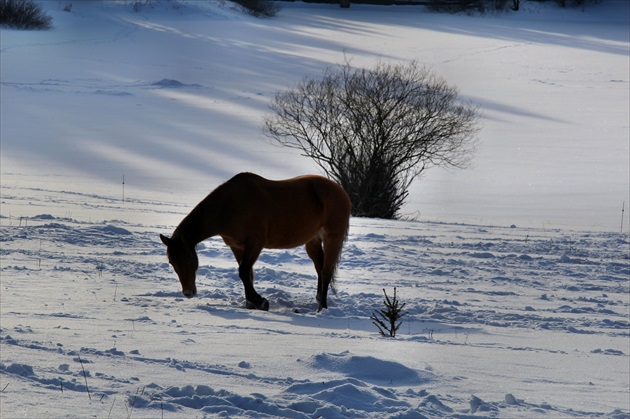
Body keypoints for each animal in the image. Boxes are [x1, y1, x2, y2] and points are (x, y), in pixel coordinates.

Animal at [160, 172, 354, 314]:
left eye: (189, 260)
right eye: (172, 262)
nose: (188, 293)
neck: (229, 206)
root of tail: (341, 192)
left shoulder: (255, 243)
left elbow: (243, 271)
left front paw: (260, 301)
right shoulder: (237, 246)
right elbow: (247, 274)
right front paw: (251, 302)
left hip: (332, 239)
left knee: (326, 271)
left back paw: (322, 308)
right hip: (312, 241)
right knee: (320, 269)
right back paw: (319, 299)